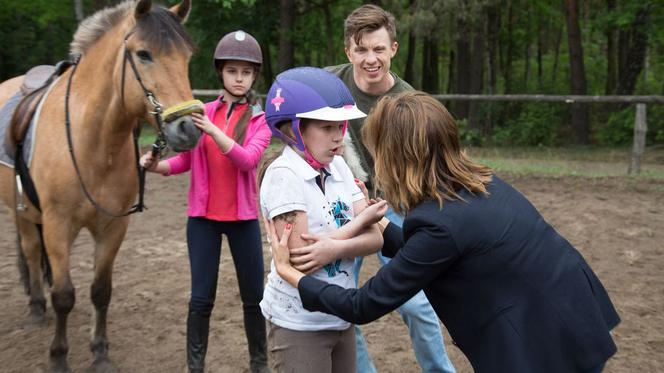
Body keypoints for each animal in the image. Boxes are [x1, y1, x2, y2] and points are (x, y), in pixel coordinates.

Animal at [0, 1, 201, 370]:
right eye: (143, 54)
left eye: (186, 56)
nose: (188, 129)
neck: (93, 140)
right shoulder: (58, 225)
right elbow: (64, 294)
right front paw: (59, 357)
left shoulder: (113, 227)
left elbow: (100, 291)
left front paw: (100, 353)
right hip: (20, 212)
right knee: (31, 252)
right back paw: (36, 308)